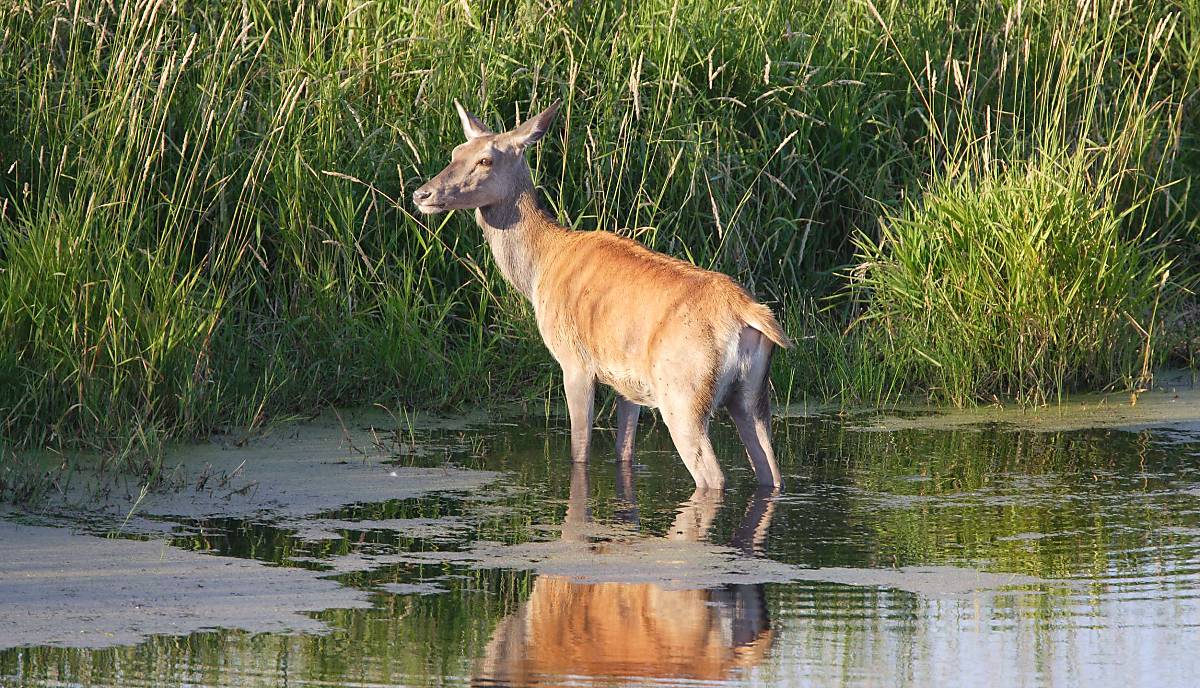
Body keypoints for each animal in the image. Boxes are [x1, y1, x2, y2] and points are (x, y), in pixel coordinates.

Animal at [417, 99, 792, 489]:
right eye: (456, 152)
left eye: (486, 160)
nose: (421, 194)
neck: (540, 267)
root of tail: (747, 313)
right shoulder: (629, 385)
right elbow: (623, 453)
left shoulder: (574, 361)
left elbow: (579, 452)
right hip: (753, 395)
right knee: (771, 471)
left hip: (683, 393)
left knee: (713, 475)